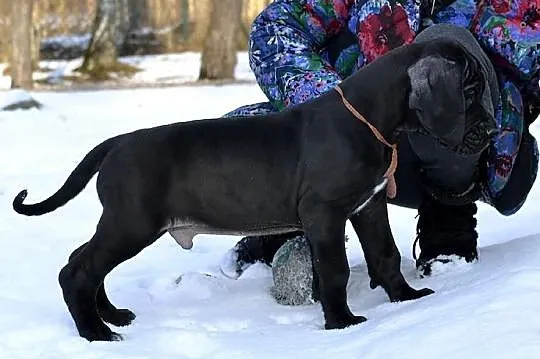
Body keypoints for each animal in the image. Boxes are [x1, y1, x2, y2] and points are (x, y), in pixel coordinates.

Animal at [12, 38, 488, 344]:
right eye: (470, 90)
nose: (489, 131)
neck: (367, 118)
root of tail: (115, 143)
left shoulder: (368, 206)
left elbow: (385, 254)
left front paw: (406, 299)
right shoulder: (324, 213)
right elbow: (333, 270)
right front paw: (343, 323)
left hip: (124, 224)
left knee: (85, 262)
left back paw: (110, 315)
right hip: (132, 222)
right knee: (78, 270)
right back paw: (95, 332)